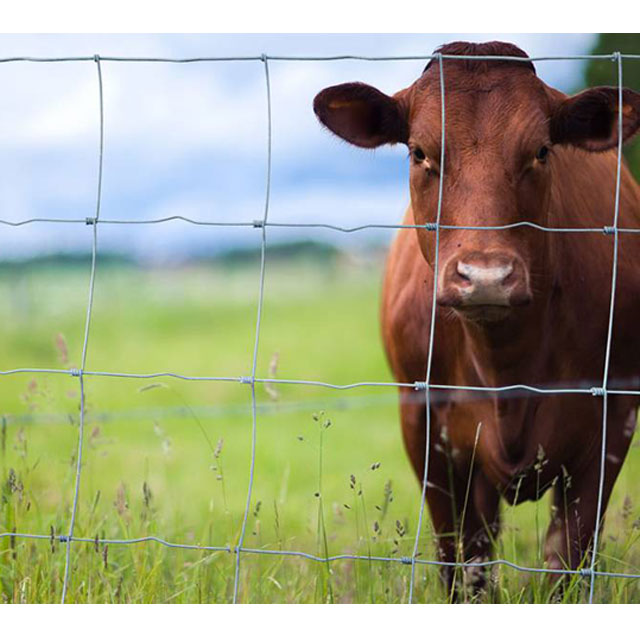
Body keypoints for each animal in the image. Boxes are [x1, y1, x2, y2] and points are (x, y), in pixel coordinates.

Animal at [314, 41, 640, 600]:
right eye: (419, 152)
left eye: (542, 151)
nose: (486, 277)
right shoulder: (423, 424)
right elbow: (462, 563)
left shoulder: (612, 419)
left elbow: (566, 561)